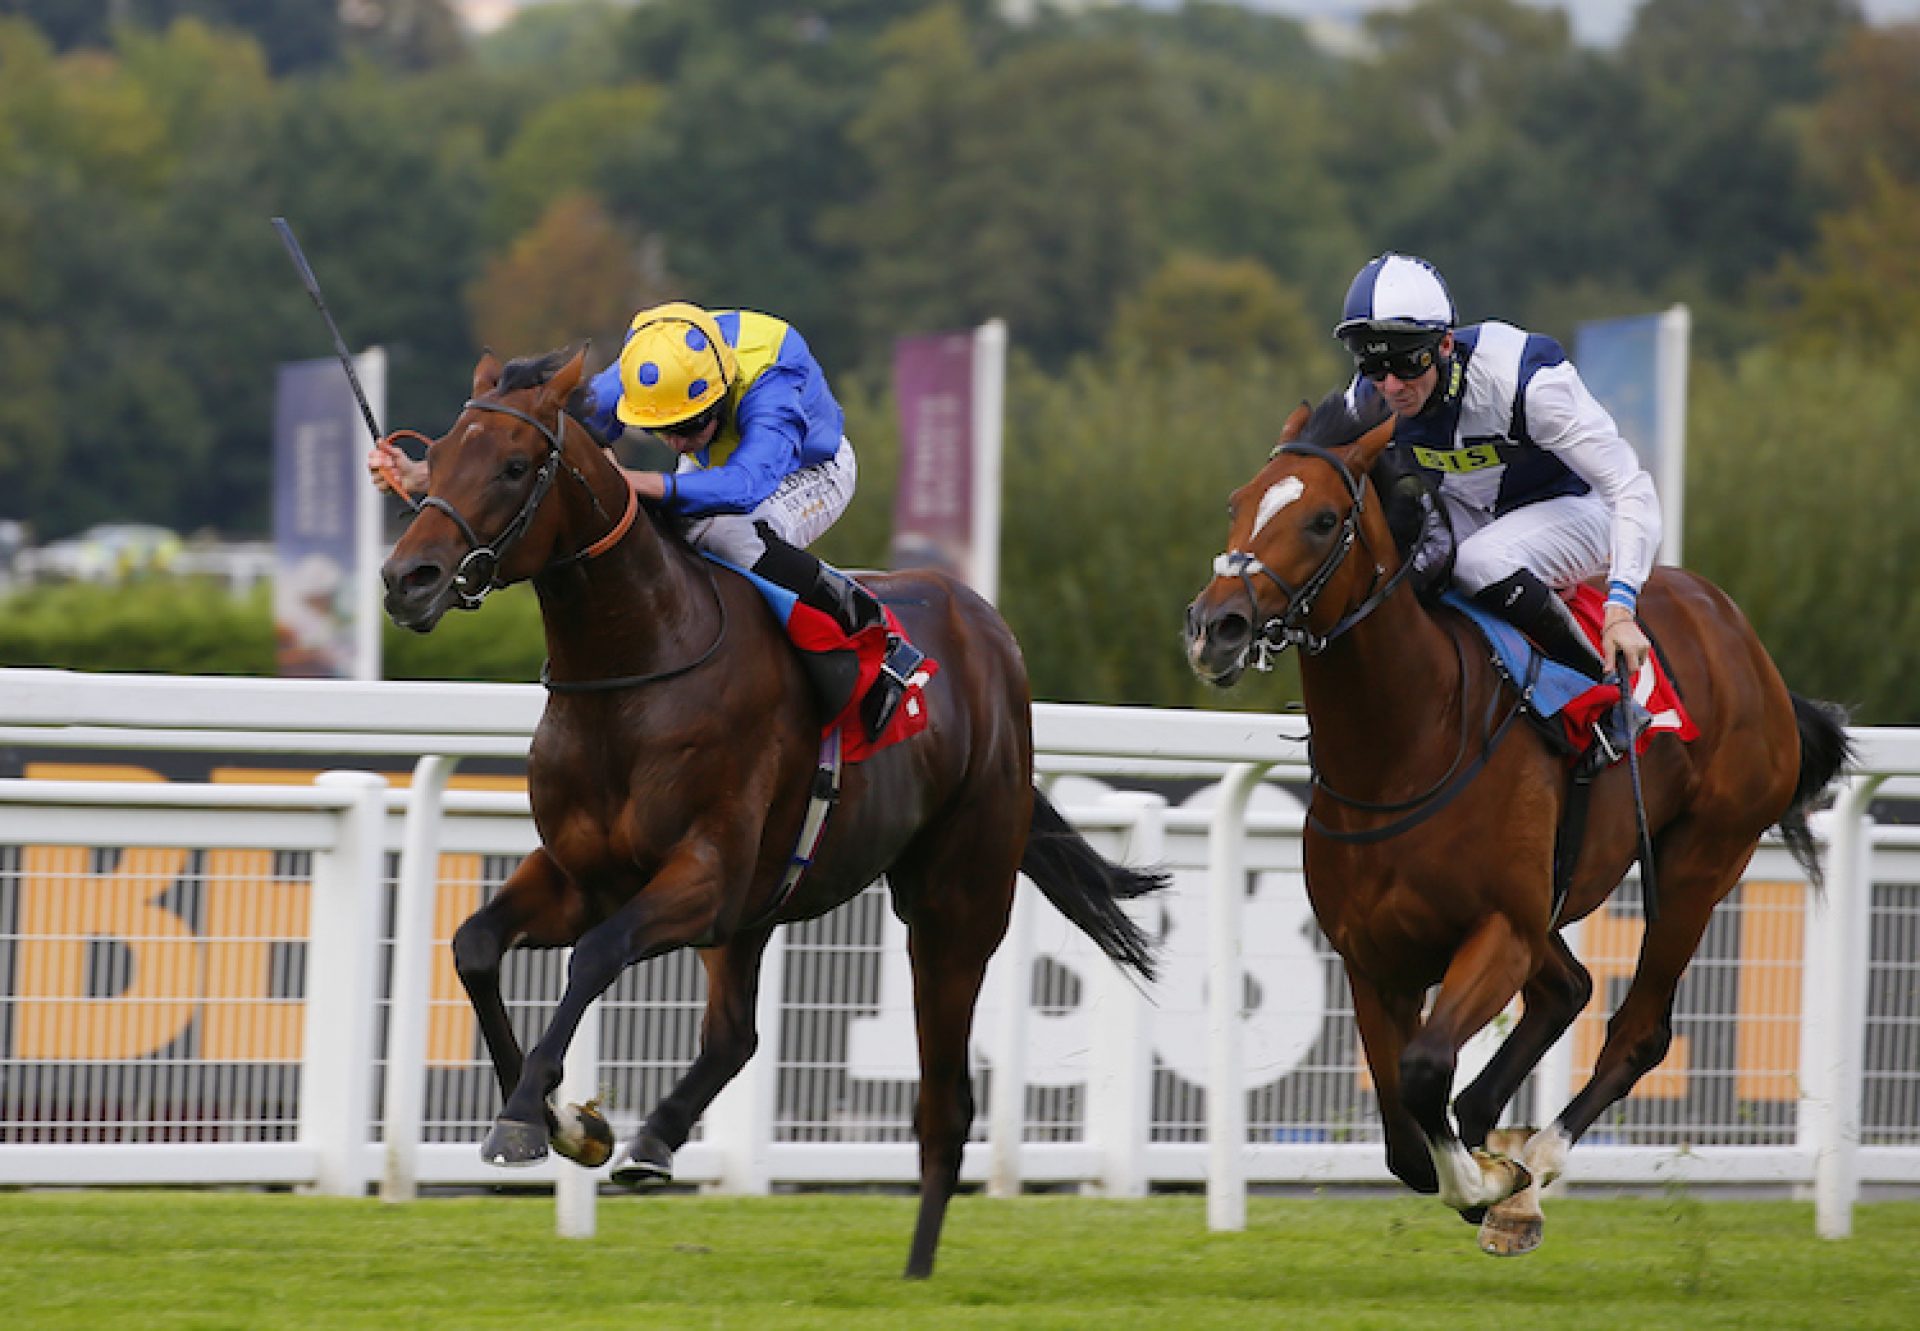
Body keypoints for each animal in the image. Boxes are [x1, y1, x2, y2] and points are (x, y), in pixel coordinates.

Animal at [374, 345, 1152, 1275]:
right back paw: (655, 1138)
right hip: (759, 908)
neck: (636, 666)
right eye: (440, 455)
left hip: (954, 900)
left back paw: (917, 1266)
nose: (406, 579)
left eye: (516, 466)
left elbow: (595, 956)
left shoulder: (702, 874)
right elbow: (476, 945)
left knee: (944, 1102)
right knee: (735, 1035)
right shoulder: (582, 873)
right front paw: (564, 1121)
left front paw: (534, 1117)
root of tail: (989, 631)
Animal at [1175, 386, 1850, 1259]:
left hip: (1700, 859)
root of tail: (1741, 635)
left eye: (1323, 519)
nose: (1213, 626)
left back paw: (1532, 1174)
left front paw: (1494, 1181)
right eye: (1239, 504)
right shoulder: (1373, 956)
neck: (1407, 744)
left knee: (1637, 1026)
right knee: (1568, 988)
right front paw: (1481, 1164)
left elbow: (1427, 1070)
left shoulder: (1499, 927)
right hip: (1555, 906)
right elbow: (1404, 1134)